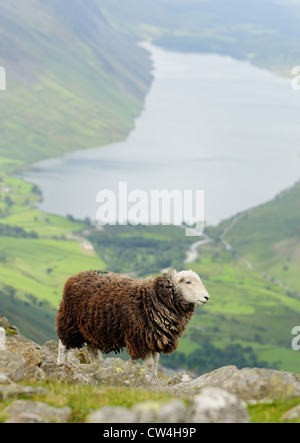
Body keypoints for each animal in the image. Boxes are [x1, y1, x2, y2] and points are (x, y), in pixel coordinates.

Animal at [56, 270, 211, 378]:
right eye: (188, 282)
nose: (206, 297)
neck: (152, 299)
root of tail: (75, 277)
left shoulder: (155, 338)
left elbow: (156, 362)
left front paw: (154, 378)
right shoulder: (140, 339)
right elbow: (149, 364)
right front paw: (148, 378)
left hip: (90, 328)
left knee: (92, 350)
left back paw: (97, 367)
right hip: (69, 321)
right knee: (63, 346)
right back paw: (61, 364)